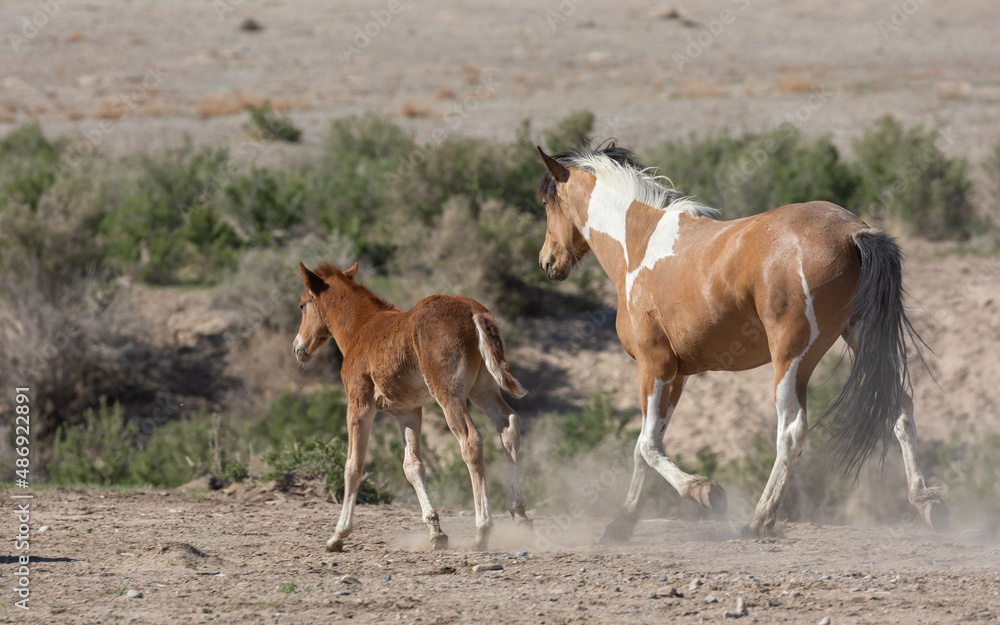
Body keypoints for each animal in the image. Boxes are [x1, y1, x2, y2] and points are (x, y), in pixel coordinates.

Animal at [292, 261, 530, 552]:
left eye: (302, 305)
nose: (298, 348)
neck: (361, 329)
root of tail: (472, 310)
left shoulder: (359, 406)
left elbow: (353, 466)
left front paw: (338, 535)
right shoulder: (408, 412)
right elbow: (412, 466)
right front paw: (436, 533)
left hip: (448, 393)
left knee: (471, 441)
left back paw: (482, 530)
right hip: (482, 388)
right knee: (508, 424)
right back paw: (519, 515)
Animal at [534, 142, 948, 540]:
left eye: (547, 204)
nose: (546, 261)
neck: (639, 246)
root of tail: (852, 232)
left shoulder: (654, 366)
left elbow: (647, 446)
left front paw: (705, 492)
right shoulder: (676, 374)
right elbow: (646, 446)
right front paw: (622, 524)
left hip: (792, 357)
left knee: (791, 431)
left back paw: (759, 520)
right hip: (860, 338)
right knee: (899, 404)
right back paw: (926, 502)